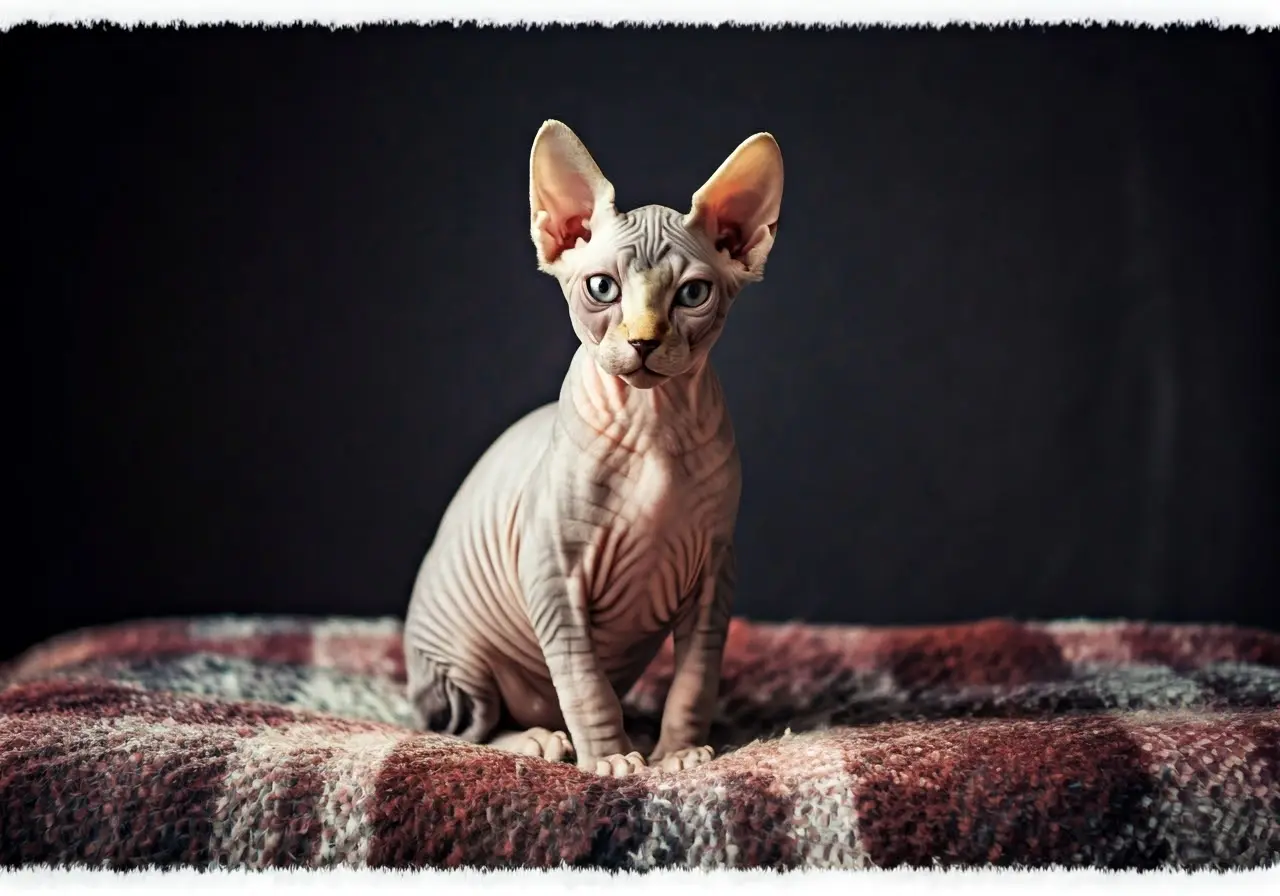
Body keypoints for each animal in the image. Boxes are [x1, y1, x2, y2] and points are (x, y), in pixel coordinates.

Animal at [401, 119, 778, 778]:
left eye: (693, 294)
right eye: (602, 288)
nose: (644, 341)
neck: (653, 423)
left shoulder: (715, 574)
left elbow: (695, 678)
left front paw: (678, 752)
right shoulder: (554, 573)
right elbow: (584, 682)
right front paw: (611, 758)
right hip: (459, 660)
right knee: (467, 727)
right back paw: (538, 740)